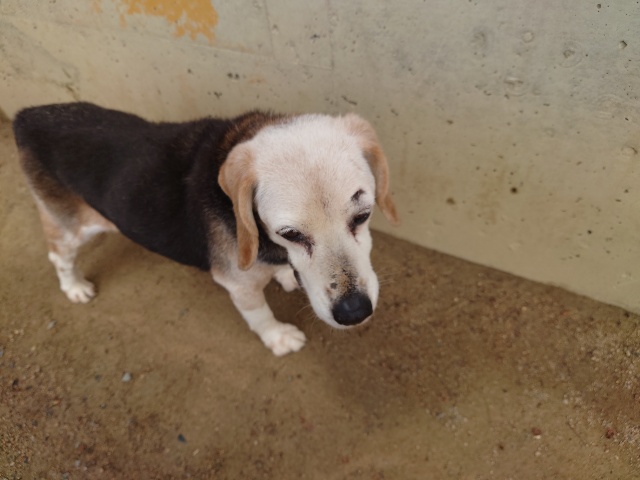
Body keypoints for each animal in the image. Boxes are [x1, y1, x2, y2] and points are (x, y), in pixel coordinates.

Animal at [13, 102, 399, 356]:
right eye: (290, 234)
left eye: (363, 215)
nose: (354, 312)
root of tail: (26, 116)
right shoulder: (237, 283)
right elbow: (259, 314)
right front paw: (278, 337)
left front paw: (283, 277)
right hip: (70, 227)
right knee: (59, 256)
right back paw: (74, 287)